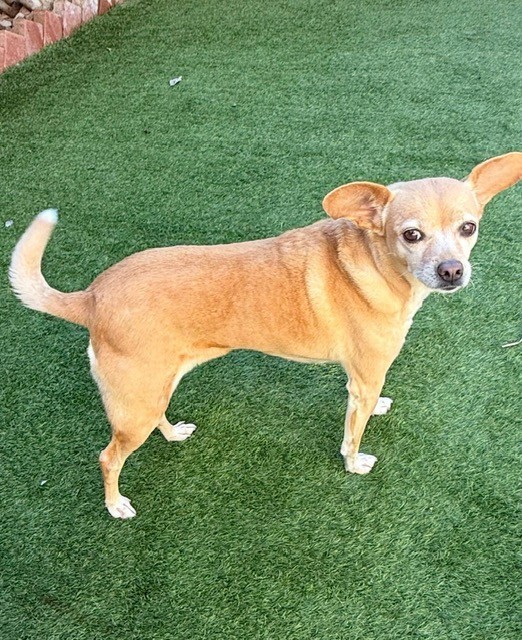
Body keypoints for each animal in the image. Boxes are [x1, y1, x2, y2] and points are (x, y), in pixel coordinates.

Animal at [9, 152, 521, 518]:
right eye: (411, 235)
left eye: (469, 227)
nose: (452, 271)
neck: (377, 263)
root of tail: (92, 297)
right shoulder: (365, 377)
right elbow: (352, 436)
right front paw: (354, 463)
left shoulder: (361, 377)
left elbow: (367, 403)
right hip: (135, 402)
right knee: (108, 457)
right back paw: (115, 504)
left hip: (151, 390)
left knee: (153, 420)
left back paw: (173, 433)